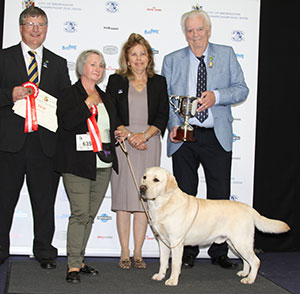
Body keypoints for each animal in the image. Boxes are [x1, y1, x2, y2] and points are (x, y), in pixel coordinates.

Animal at [141, 167, 290, 286]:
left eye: (156, 180)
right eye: (144, 177)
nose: (142, 188)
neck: (162, 203)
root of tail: (248, 207)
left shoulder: (176, 242)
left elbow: (175, 263)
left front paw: (172, 280)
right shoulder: (163, 241)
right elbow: (163, 261)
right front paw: (160, 276)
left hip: (241, 241)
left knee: (255, 261)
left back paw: (250, 279)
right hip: (234, 244)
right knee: (246, 260)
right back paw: (244, 274)